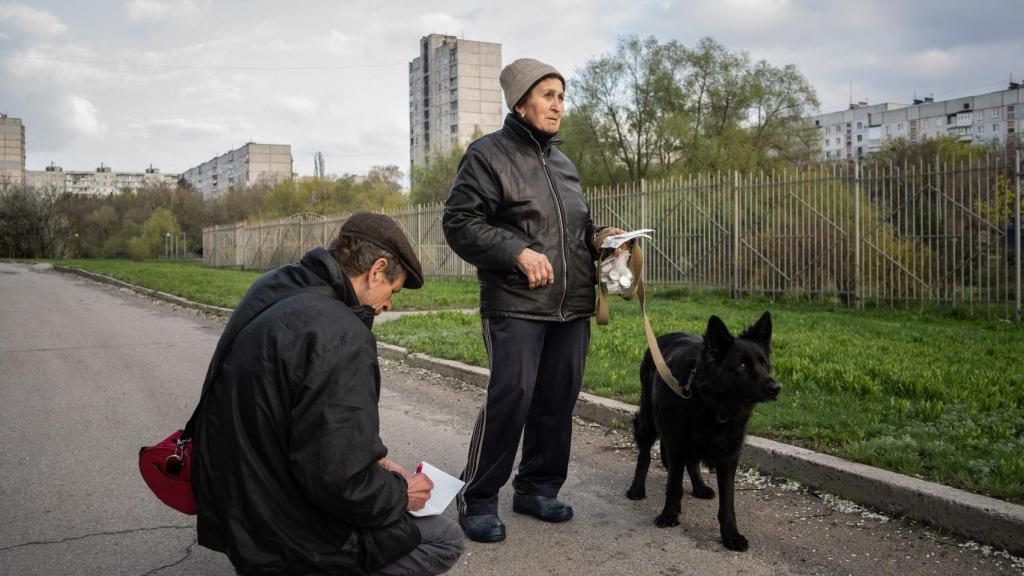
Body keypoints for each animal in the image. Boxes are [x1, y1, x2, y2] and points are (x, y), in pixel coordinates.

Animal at [626, 311, 778, 549]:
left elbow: (728, 502)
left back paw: (699, 486)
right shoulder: (676, 445)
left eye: (764, 363)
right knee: (645, 455)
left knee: (692, 462)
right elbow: (674, 485)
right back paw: (637, 488)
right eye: (742, 365)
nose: (776, 388)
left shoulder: (728, 455)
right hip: (648, 420)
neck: (711, 404)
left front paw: (731, 535)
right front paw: (669, 514)